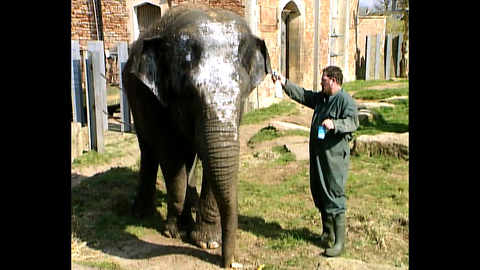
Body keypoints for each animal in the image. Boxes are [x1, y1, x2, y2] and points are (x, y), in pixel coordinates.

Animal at [122, 3, 272, 268]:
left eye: (244, 93)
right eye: (189, 93)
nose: (227, 263)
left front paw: (207, 241)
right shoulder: (155, 102)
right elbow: (170, 157)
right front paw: (177, 231)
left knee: (188, 156)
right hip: (134, 100)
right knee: (149, 151)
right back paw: (143, 212)